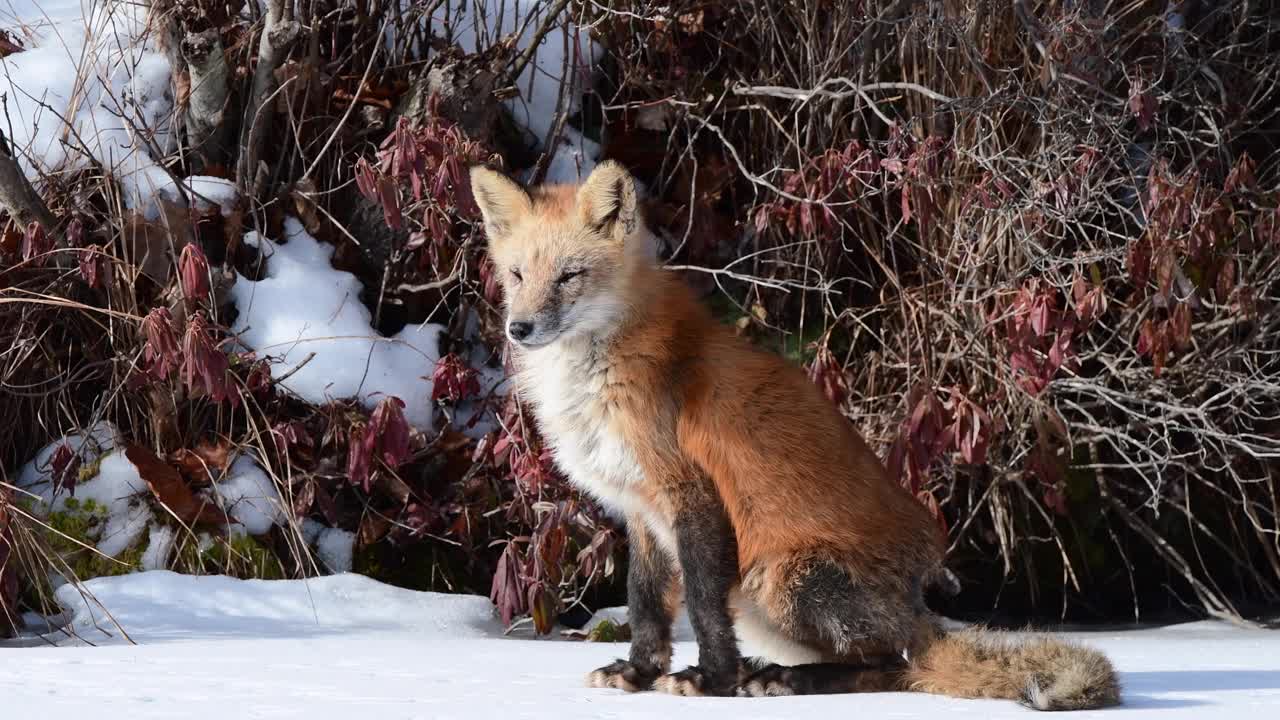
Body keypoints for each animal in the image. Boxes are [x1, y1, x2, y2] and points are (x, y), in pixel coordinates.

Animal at [473, 158, 1121, 707]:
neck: (597, 378)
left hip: (780, 579)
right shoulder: (641, 508)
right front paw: (637, 673)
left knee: (895, 665)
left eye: (569, 276)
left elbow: (702, 605)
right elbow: (646, 604)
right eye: (518, 274)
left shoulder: (694, 494)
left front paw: (712, 681)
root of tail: (921, 604)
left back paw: (787, 679)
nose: (519, 327)